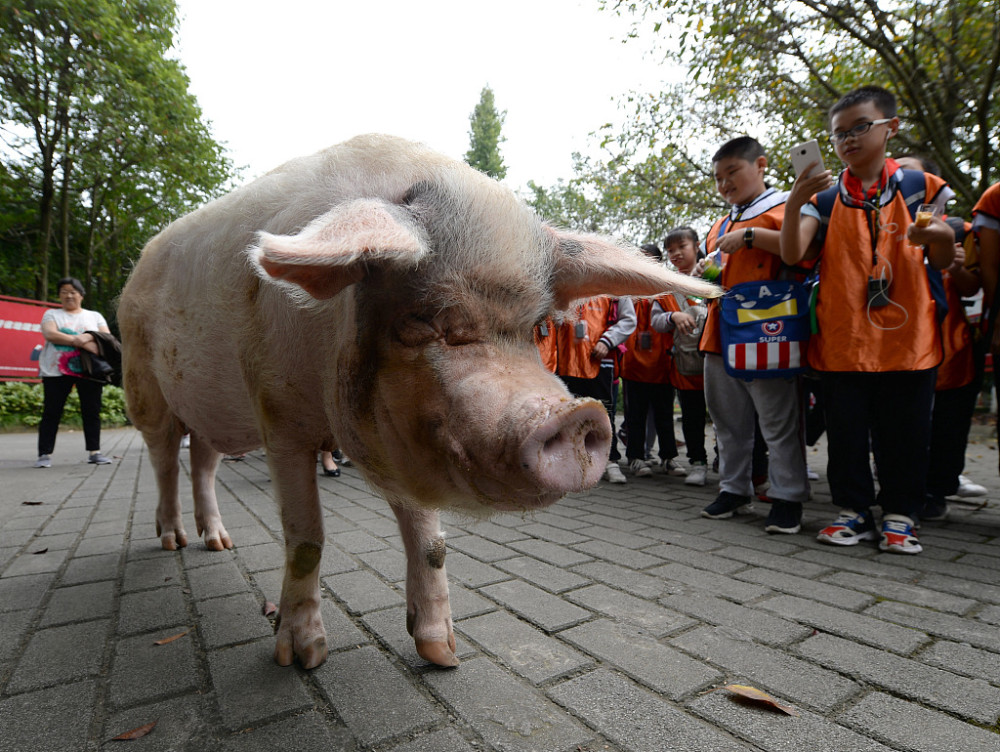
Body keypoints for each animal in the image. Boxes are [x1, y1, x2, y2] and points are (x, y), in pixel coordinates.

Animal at [117, 135, 720, 668]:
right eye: (428, 321)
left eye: (537, 328)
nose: (578, 415)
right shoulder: (278, 416)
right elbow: (306, 537)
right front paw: (304, 658)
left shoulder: (410, 437)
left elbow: (432, 543)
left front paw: (445, 656)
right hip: (144, 388)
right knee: (164, 460)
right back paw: (171, 542)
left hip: (210, 410)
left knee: (203, 460)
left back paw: (217, 544)